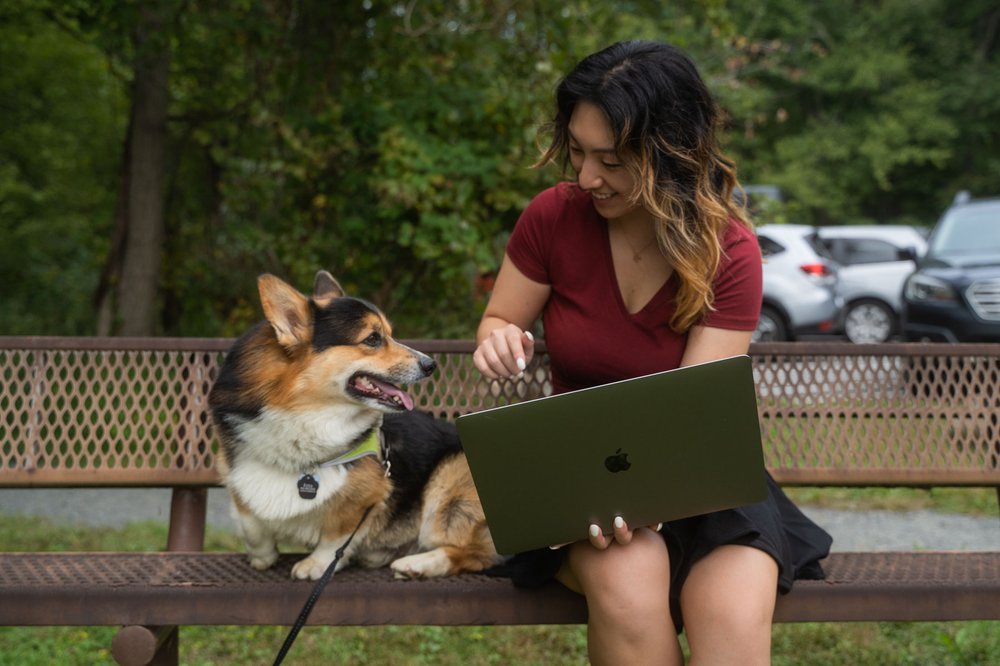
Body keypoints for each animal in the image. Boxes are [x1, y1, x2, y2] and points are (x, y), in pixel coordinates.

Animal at [209, 268, 500, 576]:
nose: (431, 365)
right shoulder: (236, 470)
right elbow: (250, 522)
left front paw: (316, 564)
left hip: (449, 486)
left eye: (389, 335)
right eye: (372, 338)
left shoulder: (368, 495)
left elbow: (336, 536)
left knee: (476, 554)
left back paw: (415, 564)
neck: (304, 412)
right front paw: (263, 556)